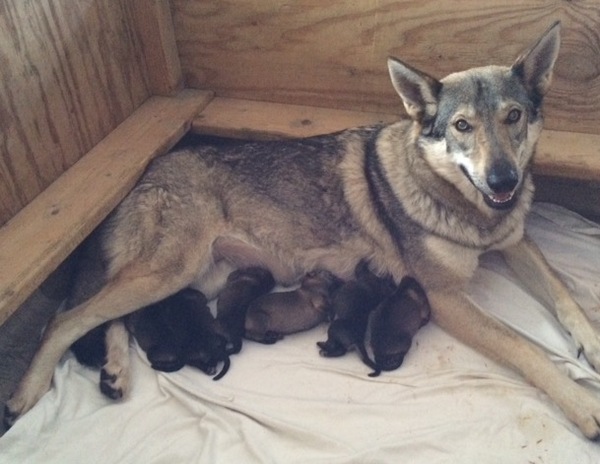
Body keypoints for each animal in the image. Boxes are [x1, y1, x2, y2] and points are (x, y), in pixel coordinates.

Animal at [4, 20, 600, 438]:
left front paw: (591, 344)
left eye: (513, 117)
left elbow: (565, 296)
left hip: (188, 279)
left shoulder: (515, 242)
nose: (504, 180)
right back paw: (29, 392)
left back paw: (114, 374)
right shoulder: (446, 297)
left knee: (108, 318)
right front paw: (584, 406)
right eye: (462, 126)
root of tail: (150, 169)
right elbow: (525, 348)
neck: (471, 209)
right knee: (66, 319)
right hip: (166, 272)